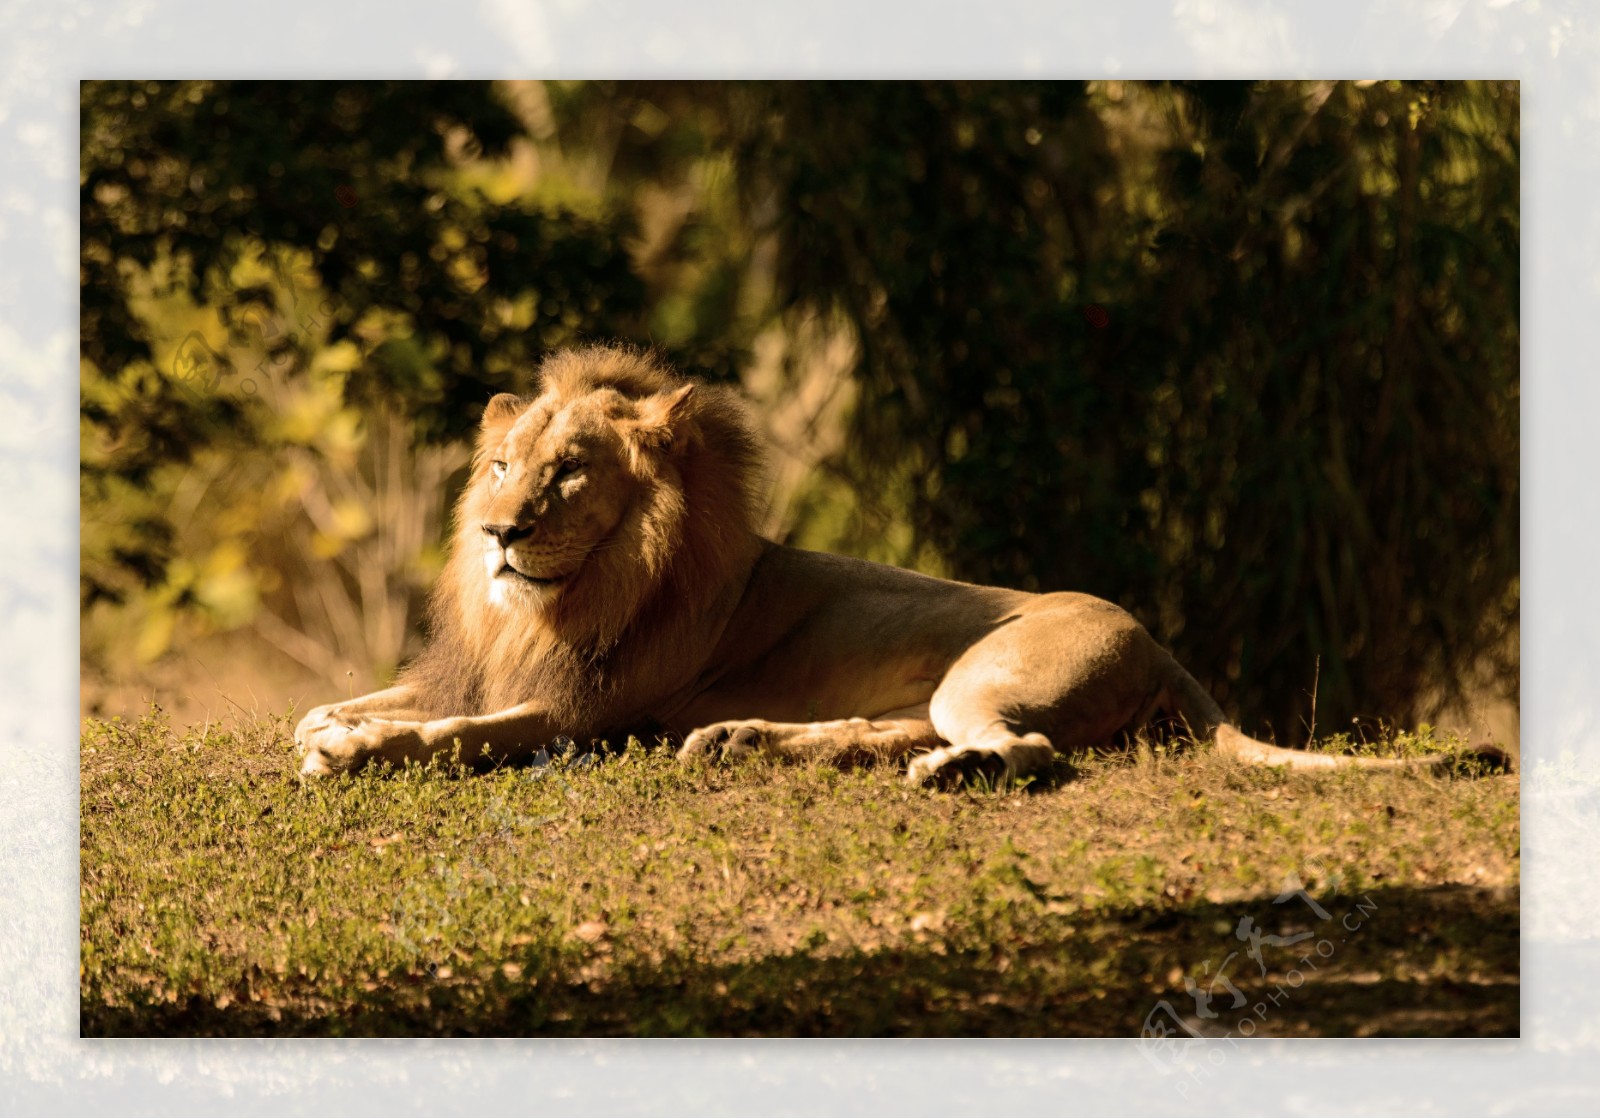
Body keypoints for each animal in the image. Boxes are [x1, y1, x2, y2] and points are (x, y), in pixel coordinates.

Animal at [297, 345, 1497, 784]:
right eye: (501, 466)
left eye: (570, 473)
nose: (498, 532)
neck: (544, 606)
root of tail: (1159, 642)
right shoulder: (487, 669)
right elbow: (369, 698)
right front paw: (328, 721)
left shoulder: (588, 715)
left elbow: (457, 732)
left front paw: (355, 749)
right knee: (901, 733)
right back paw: (745, 740)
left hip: (984, 673)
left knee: (1021, 752)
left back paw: (943, 773)